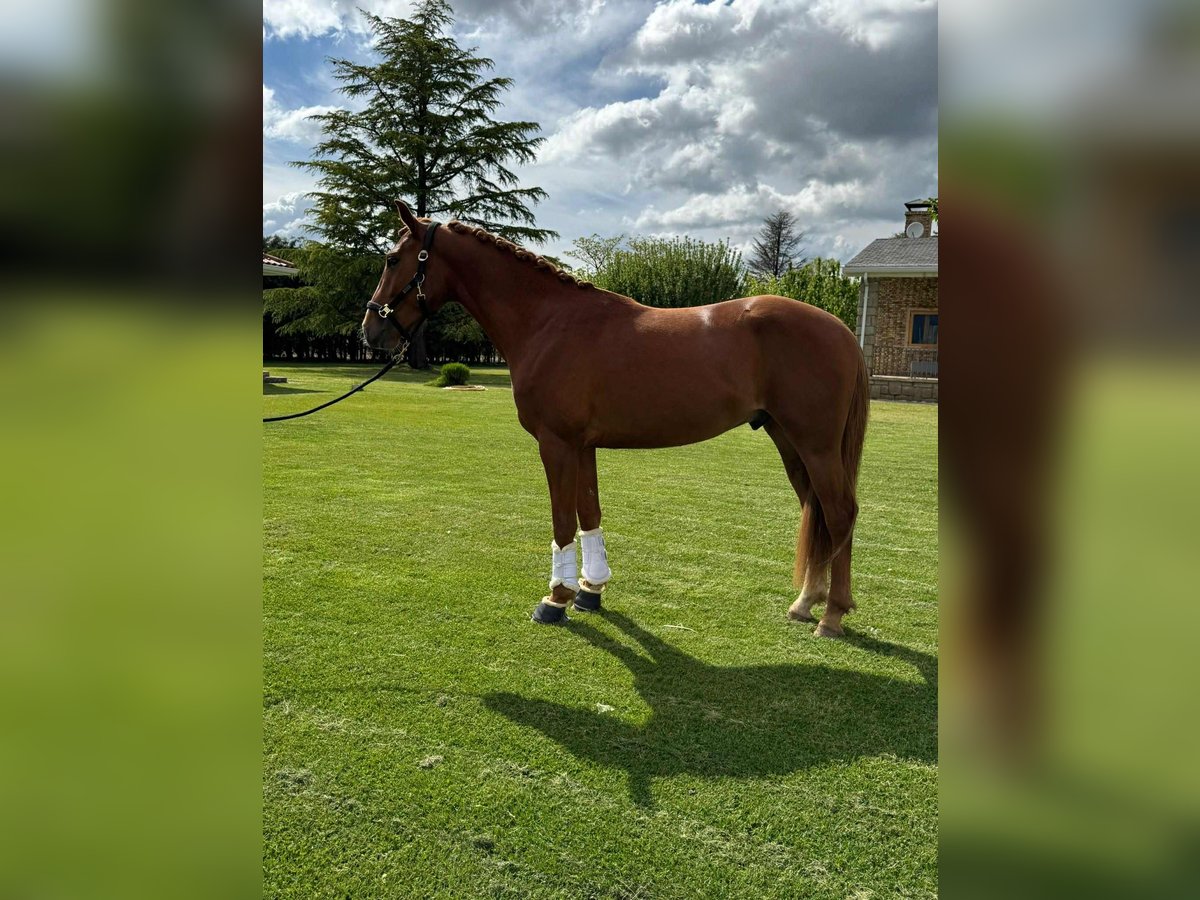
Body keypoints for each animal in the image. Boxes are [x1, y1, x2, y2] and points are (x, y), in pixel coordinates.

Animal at [362, 201, 869, 637]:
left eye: (391, 259)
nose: (371, 332)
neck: (549, 322)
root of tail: (841, 330)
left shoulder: (556, 443)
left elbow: (561, 519)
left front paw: (556, 599)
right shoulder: (583, 445)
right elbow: (589, 513)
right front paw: (591, 591)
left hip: (816, 445)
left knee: (840, 512)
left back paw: (832, 615)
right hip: (788, 441)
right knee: (816, 511)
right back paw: (805, 603)